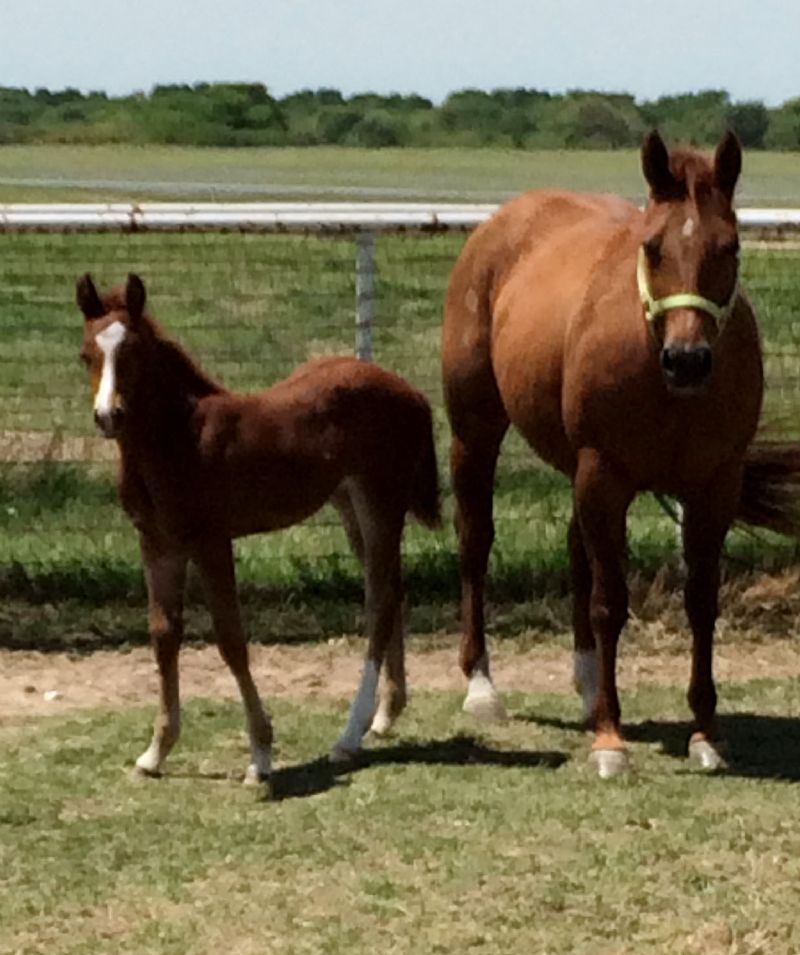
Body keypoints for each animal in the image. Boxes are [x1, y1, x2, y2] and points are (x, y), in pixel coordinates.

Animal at [76, 272, 440, 788]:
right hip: (350, 506)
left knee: (380, 603)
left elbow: (230, 639)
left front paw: (261, 755)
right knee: (392, 590)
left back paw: (349, 735)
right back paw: (385, 716)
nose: (109, 416)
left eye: (135, 353)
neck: (179, 438)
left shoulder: (211, 541)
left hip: (381, 504)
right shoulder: (156, 543)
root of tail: (412, 392)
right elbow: (164, 635)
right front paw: (155, 752)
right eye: (86, 354)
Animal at [444, 133, 800, 776]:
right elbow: (610, 603)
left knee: (575, 552)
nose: (688, 360)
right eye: (652, 247)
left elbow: (701, 601)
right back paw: (482, 686)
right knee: (475, 541)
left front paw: (705, 733)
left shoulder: (714, 485)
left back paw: (587, 686)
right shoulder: (604, 475)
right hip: (476, 432)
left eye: (730, 246)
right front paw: (610, 741)